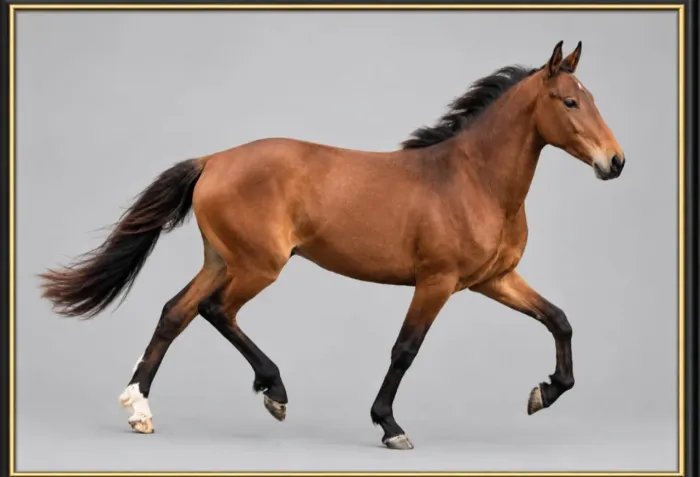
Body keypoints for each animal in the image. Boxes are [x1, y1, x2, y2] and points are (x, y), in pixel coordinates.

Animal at [39, 41, 625, 450]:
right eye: (570, 101)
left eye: (593, 99)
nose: (615, 162)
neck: (472, 179)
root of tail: (213, 160)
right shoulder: (436, 282)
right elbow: (405, 349)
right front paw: (390, 426)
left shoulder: (493, 280)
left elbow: (559, 320)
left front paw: (543, 392)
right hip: (258, 266)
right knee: (214, 310)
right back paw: (273, 392)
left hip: (221, 259)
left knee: (175, 312)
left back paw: (139, 410)